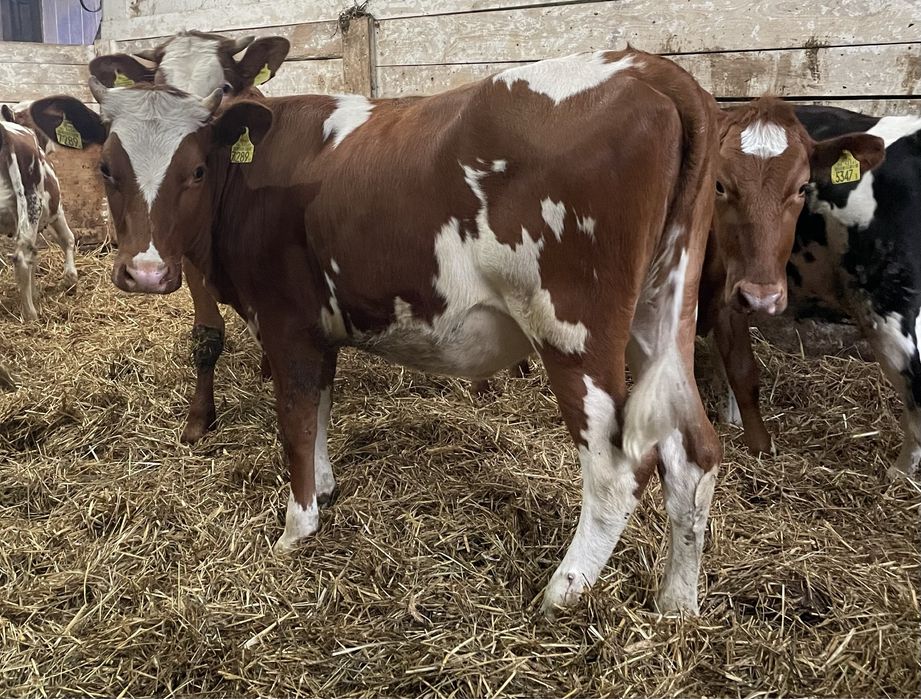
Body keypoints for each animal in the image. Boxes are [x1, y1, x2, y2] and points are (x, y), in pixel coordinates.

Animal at [0, 109, 78, 320]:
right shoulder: (56, 211)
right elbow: (67, 238)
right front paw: (71, 277)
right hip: (32, 203)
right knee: (21, 257)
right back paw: (31, 314)